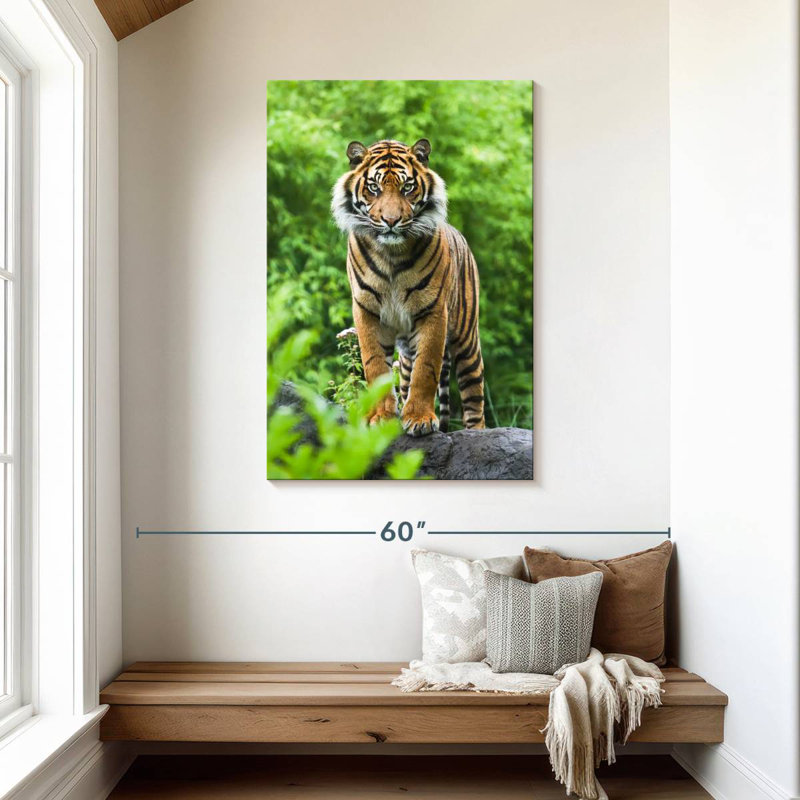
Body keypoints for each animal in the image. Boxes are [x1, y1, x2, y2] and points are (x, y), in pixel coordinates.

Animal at [331, 138, 484, 436]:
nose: (391, 221)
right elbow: (375, 366)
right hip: (405, 357)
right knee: (404, 380)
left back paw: (478, 434)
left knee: (475, 401)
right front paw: (381, 417)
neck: (391, 255)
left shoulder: (433, 311)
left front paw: (420, 419)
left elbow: (426, 369)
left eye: (407, 187)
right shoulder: (366, 311)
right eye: (374, 188)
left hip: (467, 342)